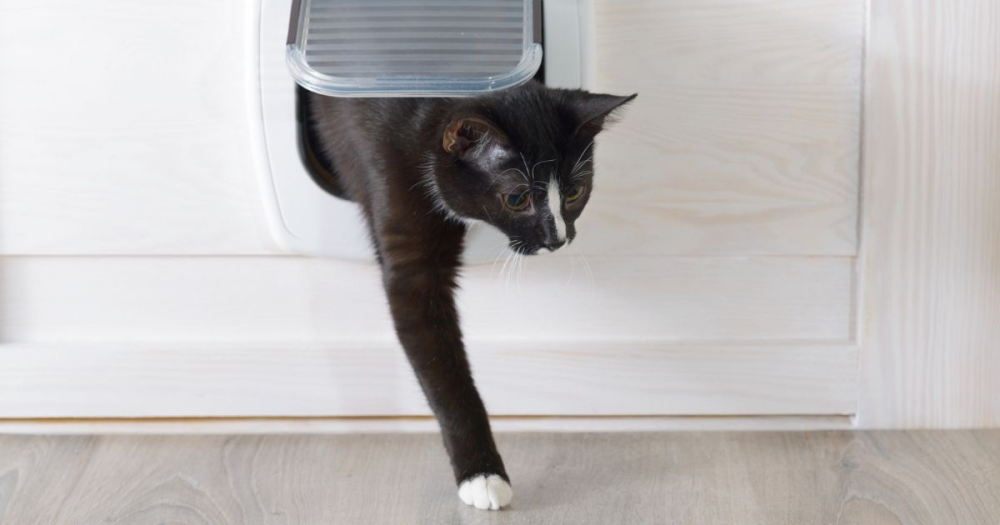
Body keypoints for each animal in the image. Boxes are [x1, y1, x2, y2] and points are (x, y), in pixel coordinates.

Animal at [300, 82, 636, 508]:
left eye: (575, 191)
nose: (557, 239)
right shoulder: (388, 172)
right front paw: (483, 474)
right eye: (517, 199)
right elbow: (439, 363)